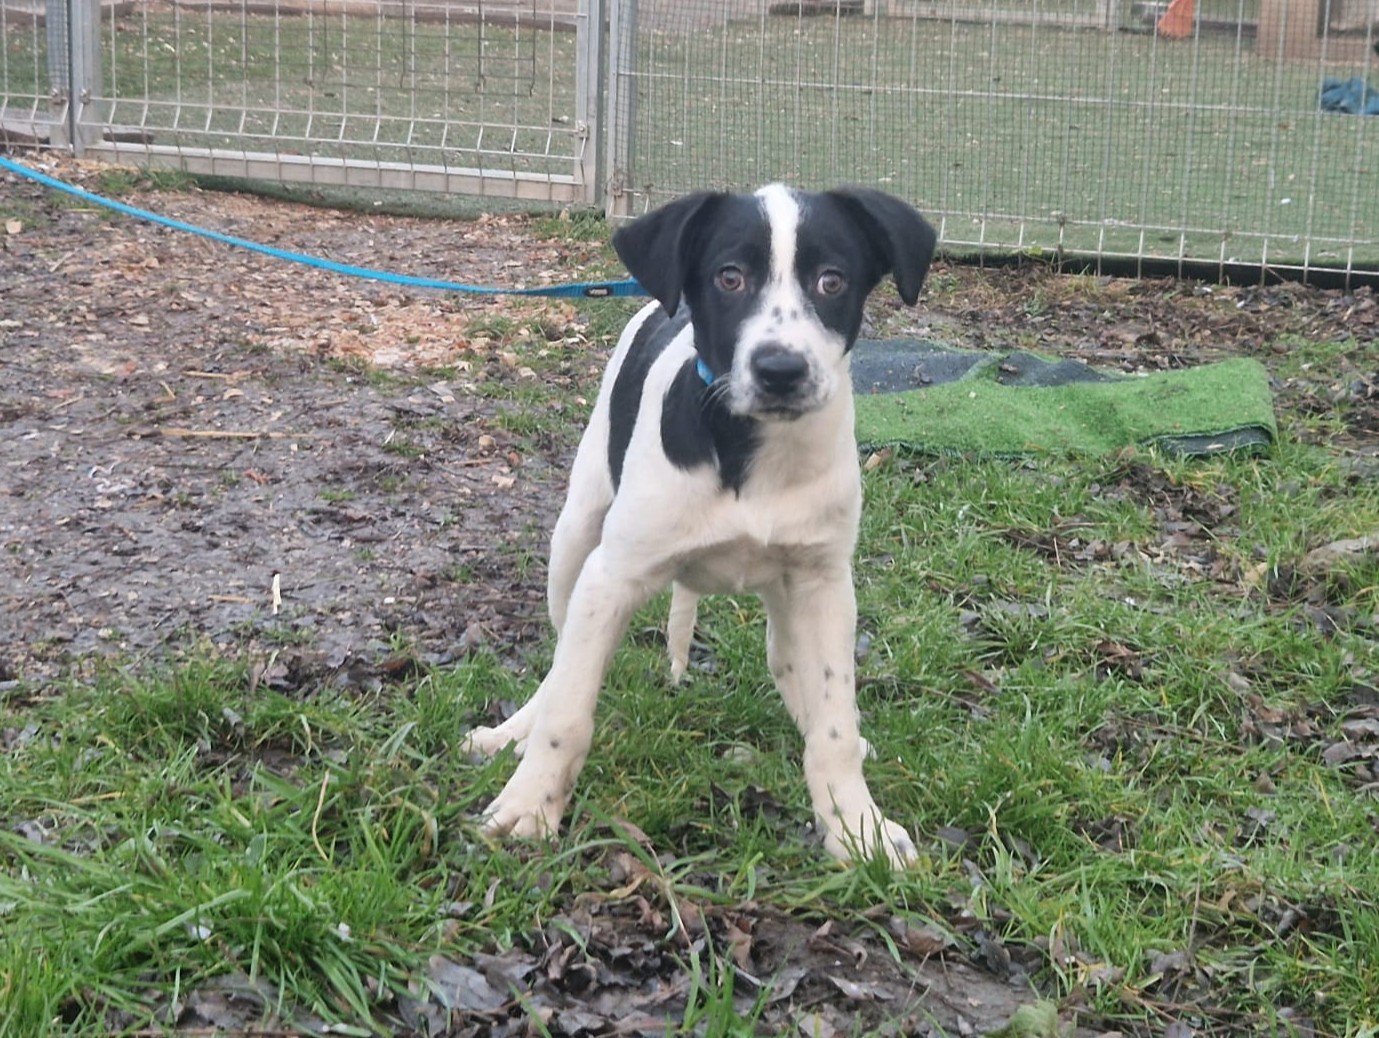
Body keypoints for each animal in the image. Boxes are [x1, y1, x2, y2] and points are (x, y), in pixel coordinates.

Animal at [463, 184, 937, 866]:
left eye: (832, 280)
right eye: (729, 277)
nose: (780, 370)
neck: (751, 452)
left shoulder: (824, 583)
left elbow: (834, 724)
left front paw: (856, 824)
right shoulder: (610, 577)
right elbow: (569, 707)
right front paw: (530, 805)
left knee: (789, 665)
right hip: (575, 537)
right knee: (555, 667)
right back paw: (512, 732)